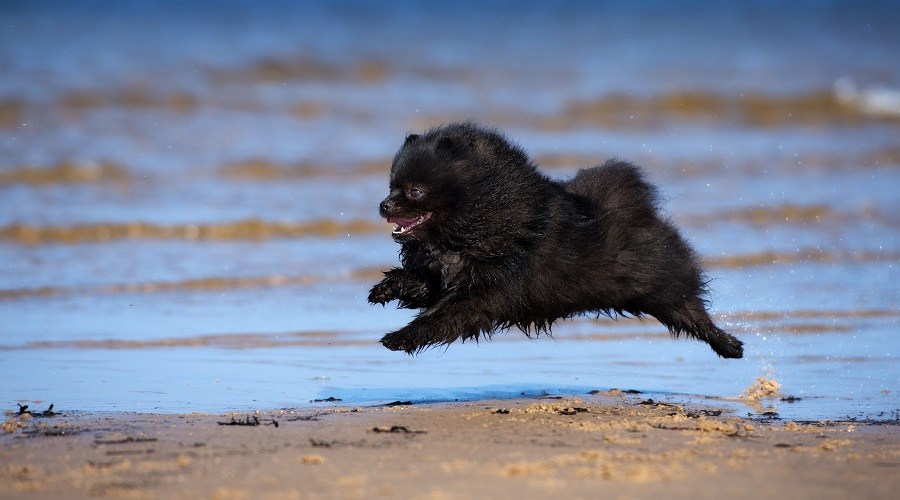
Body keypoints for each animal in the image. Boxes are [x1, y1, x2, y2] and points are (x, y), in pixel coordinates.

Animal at [370, 125, 740, 360]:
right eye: (391, 186)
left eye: (415, 191)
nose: (384, 204)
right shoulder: (445, 275)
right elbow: (419, 284)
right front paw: (385, 288)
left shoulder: (489, 290)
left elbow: (442, 316)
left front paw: (399, 338)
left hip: (662, 286)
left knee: (691, 312)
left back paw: (729, 345)